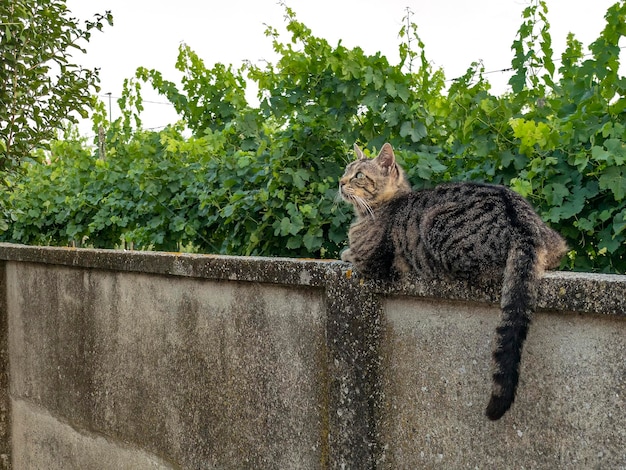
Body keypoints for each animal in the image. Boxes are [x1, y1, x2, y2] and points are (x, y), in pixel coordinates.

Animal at [338, 141, 568, 420]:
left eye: (359, 175)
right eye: (346, 171)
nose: (340, 181)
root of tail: (521, 223)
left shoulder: (368, 260)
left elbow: (351, 253)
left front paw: (345, 251)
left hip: (436, 224)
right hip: (555, 242)